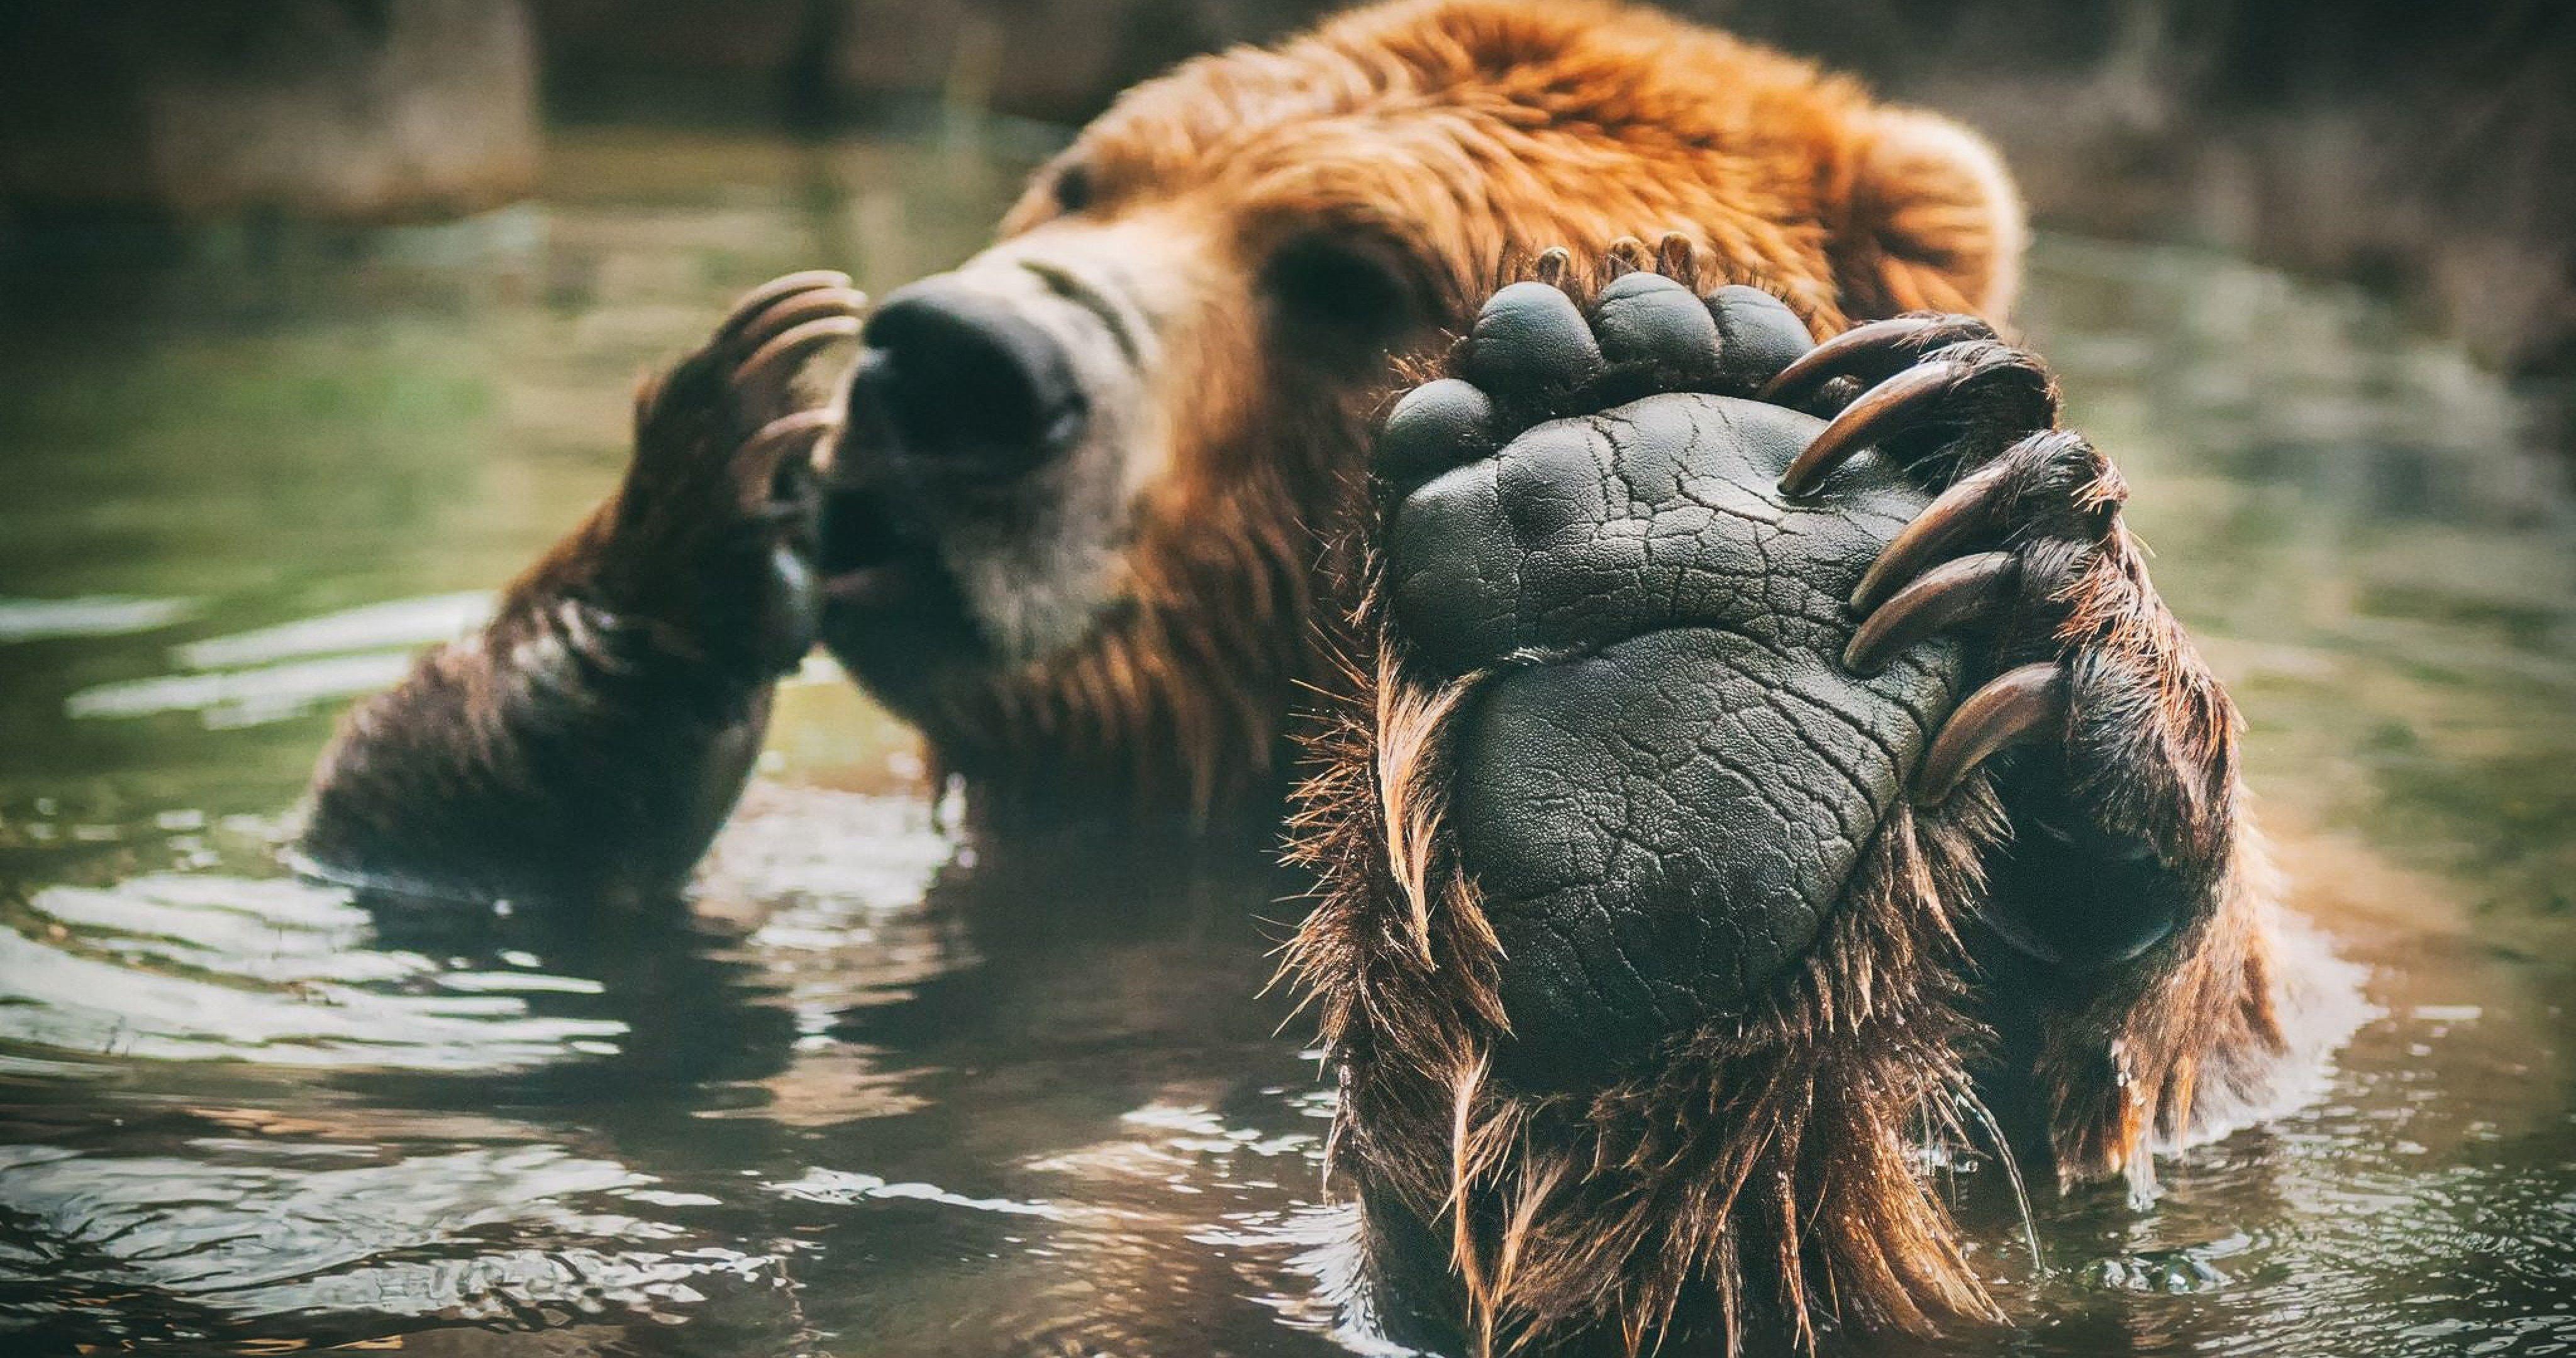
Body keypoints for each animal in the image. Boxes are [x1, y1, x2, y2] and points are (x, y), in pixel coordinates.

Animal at [296, 5, 2297, 1350]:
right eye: (1087, 174)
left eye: (1341, 267)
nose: (953, 362)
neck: (1189, 801)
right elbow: (412, 869)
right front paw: (722, 461)